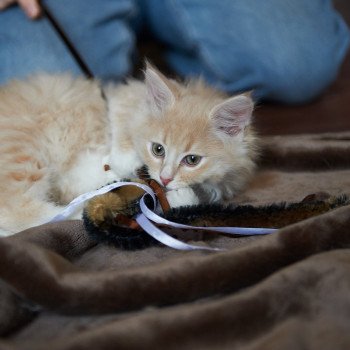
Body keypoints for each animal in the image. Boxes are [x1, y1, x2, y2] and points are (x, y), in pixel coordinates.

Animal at [0, 64, 258, 237]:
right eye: (158, 149)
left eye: (192, 160)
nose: (165, 178)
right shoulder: (119, 101)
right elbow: (122, 128)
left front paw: (178, 196)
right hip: (23, 151)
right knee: (15, 210)